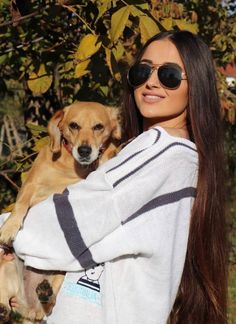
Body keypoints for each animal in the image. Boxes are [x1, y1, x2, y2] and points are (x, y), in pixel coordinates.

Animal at [0, 100, 122, 322]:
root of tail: (30, 310)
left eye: (98, 127)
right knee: (4, 298)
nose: (84, 150)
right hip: (7, 268)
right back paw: (4, 308)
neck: (72, 168)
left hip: (59, 274)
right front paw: (9, 228)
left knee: (49, 301)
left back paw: (45, 294)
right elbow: (21, 204)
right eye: (73, 125)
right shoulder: (30, 186)